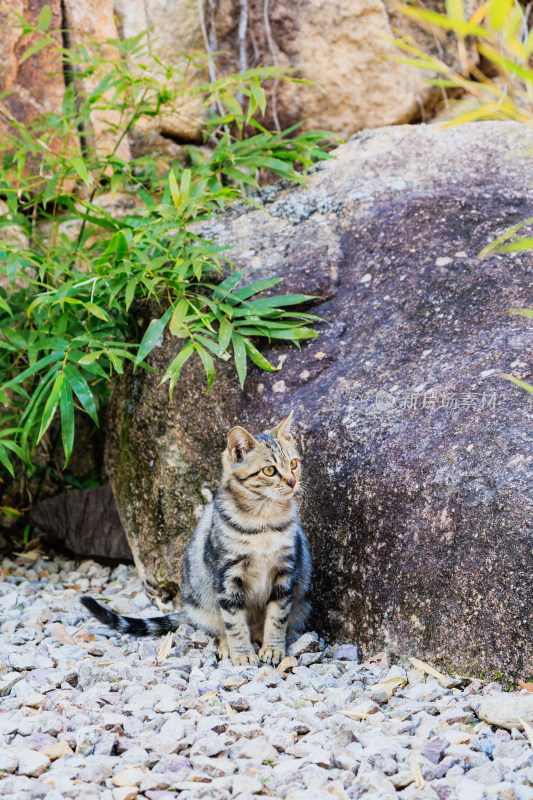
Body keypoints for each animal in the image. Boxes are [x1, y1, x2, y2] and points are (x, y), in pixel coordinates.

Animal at [81, 412, 310, 668]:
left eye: (294, 463)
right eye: (269, 470)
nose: (292, 481)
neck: (264, 521)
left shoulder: (286, 571)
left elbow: (277, 617)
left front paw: (273, 648)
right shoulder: (228, 576)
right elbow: (235, 623)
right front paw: (242, 653)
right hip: (204, 601)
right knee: (221, 626)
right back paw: (227, 647)